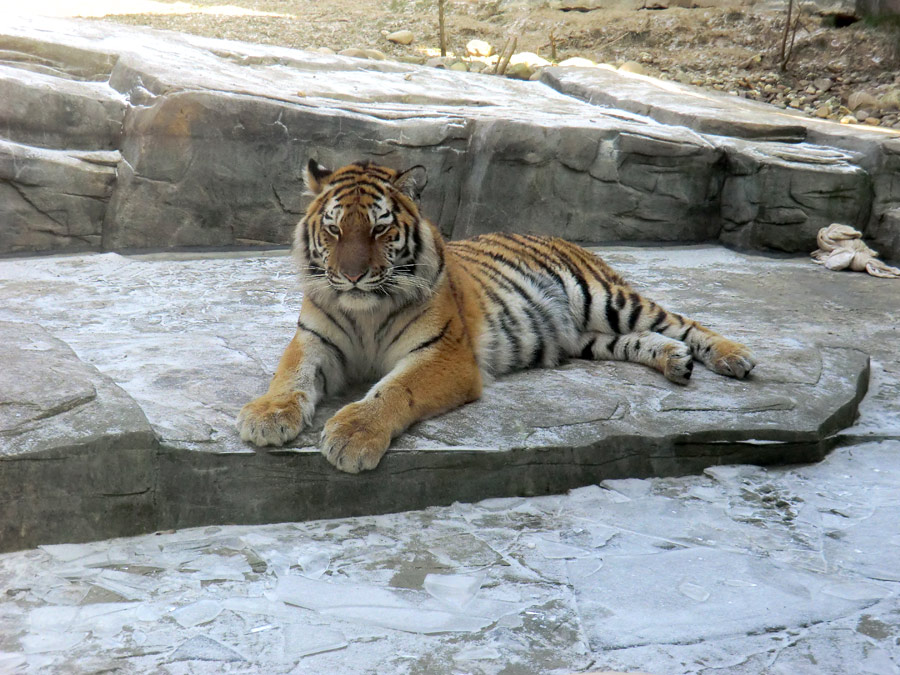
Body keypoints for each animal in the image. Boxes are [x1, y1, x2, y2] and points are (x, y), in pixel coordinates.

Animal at [236, 160, 756, 472]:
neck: (365, 310)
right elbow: (290, 375)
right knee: (643, 341)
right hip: (588, 337)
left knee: (682, 322)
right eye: (334, 229)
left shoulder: (445, 353)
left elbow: (395, 390)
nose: (352, 275)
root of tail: (561, 237)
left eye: (380, 230)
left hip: (607, 300)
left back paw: (734, 357)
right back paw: (676, 362)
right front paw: (267, 416)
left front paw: (353, 434)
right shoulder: (314, 339)